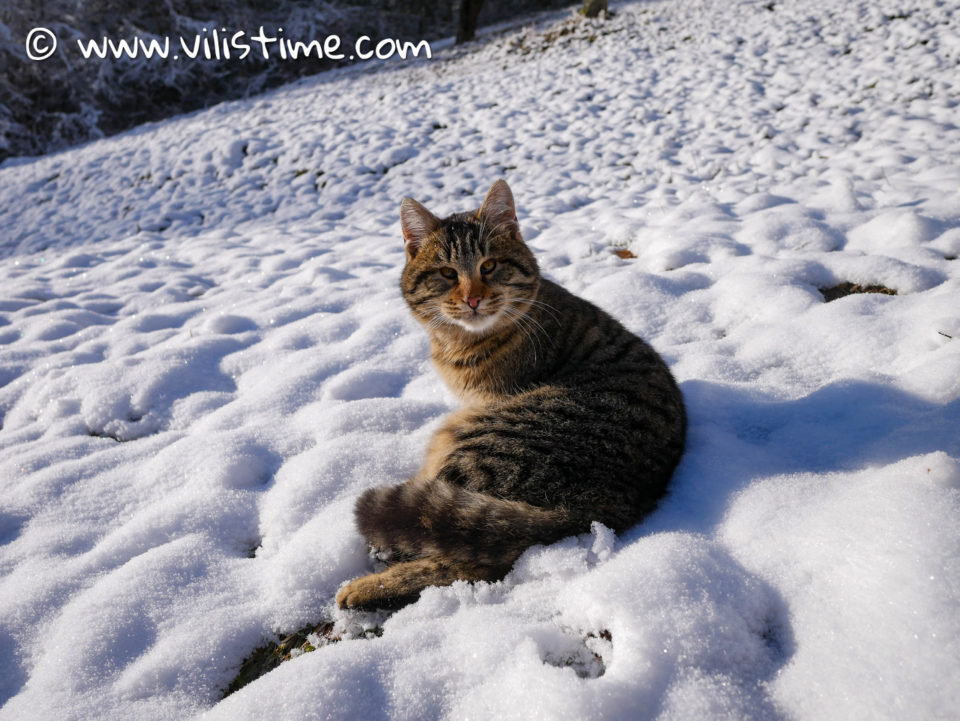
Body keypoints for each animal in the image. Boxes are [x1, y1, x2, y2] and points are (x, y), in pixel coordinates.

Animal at [334, 179, 688, 608]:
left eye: (489, 266)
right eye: (447, 273)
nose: (473, 298)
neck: (460, 343)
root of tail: (610, 502)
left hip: (474, 443)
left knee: (469, 556)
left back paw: (368, 586)